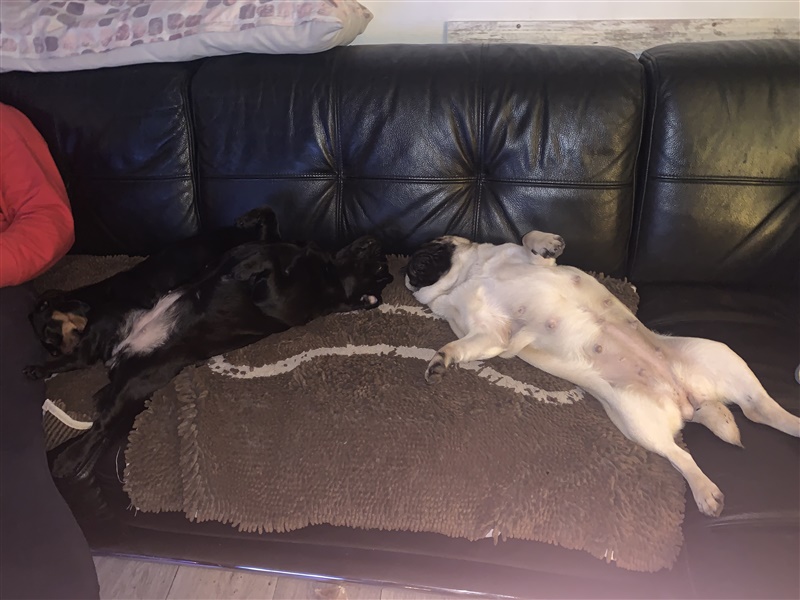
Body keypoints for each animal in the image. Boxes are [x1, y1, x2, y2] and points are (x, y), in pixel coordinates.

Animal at [25, 235, 393, 479]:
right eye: (380, 267)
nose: (377, 242)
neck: (329, 273)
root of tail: (121, 357)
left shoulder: (276, 297)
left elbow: (267, 263)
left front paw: (249, 265)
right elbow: (257, 249)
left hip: (134, 382)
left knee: (100, 425)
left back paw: (67, 460)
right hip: (114, 323)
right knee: (80, 360)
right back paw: (42, 368)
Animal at [405, 231, 800, 517]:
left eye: (434, 245)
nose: (411, 260)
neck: (470, 275)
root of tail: (689, 401)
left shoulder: (529, 264)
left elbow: (528, 238)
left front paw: (549, 241)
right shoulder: (486, 336)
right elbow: (460, 347)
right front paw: (441, 360)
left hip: (719, 356)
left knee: (760, 408)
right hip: (638, 420)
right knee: (684, 453)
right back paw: (705, 488)